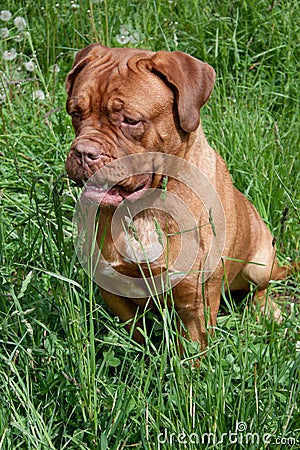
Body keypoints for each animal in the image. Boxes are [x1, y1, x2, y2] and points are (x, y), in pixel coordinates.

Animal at [65, 44, 292, 348]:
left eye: (131, 120)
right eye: (75, 113)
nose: (84, 152)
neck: (144, 207)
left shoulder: (195, 303)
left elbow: (191, 353)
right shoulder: (114, 290)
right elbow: (137, 335)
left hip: (260, 262)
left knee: (261, 288)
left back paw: (268, 311)